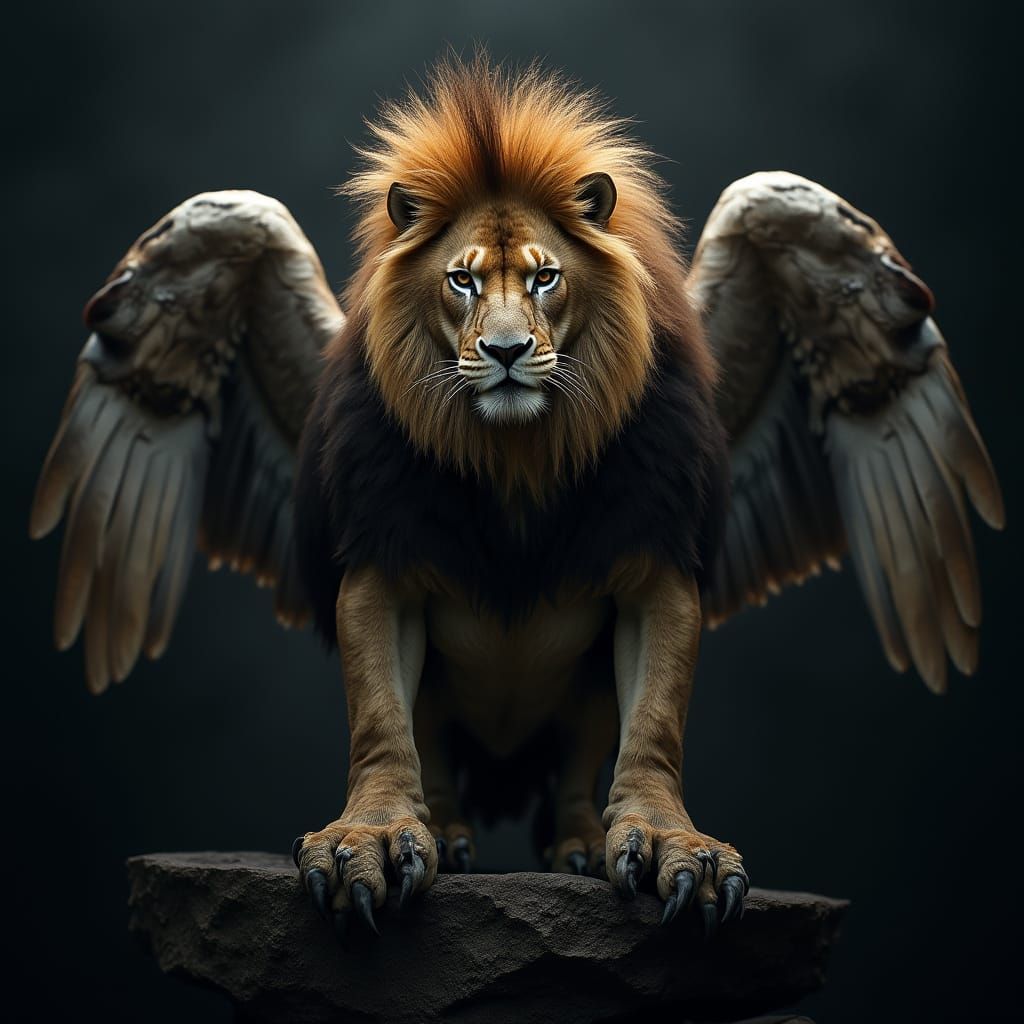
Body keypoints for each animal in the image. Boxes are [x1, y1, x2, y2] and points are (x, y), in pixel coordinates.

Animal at [31, 55, 1003, 935]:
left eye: (544, 276)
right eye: (461, 279)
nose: (503, 352)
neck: (516, 456)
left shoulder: (657, 568)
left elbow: (657, 725)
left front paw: (671, 847)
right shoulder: (380, 567)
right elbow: (379, 722)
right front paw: (368, 842)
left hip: (582, 696)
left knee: (579, 767)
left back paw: (580, 847)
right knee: (436, 752)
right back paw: (450, 835)